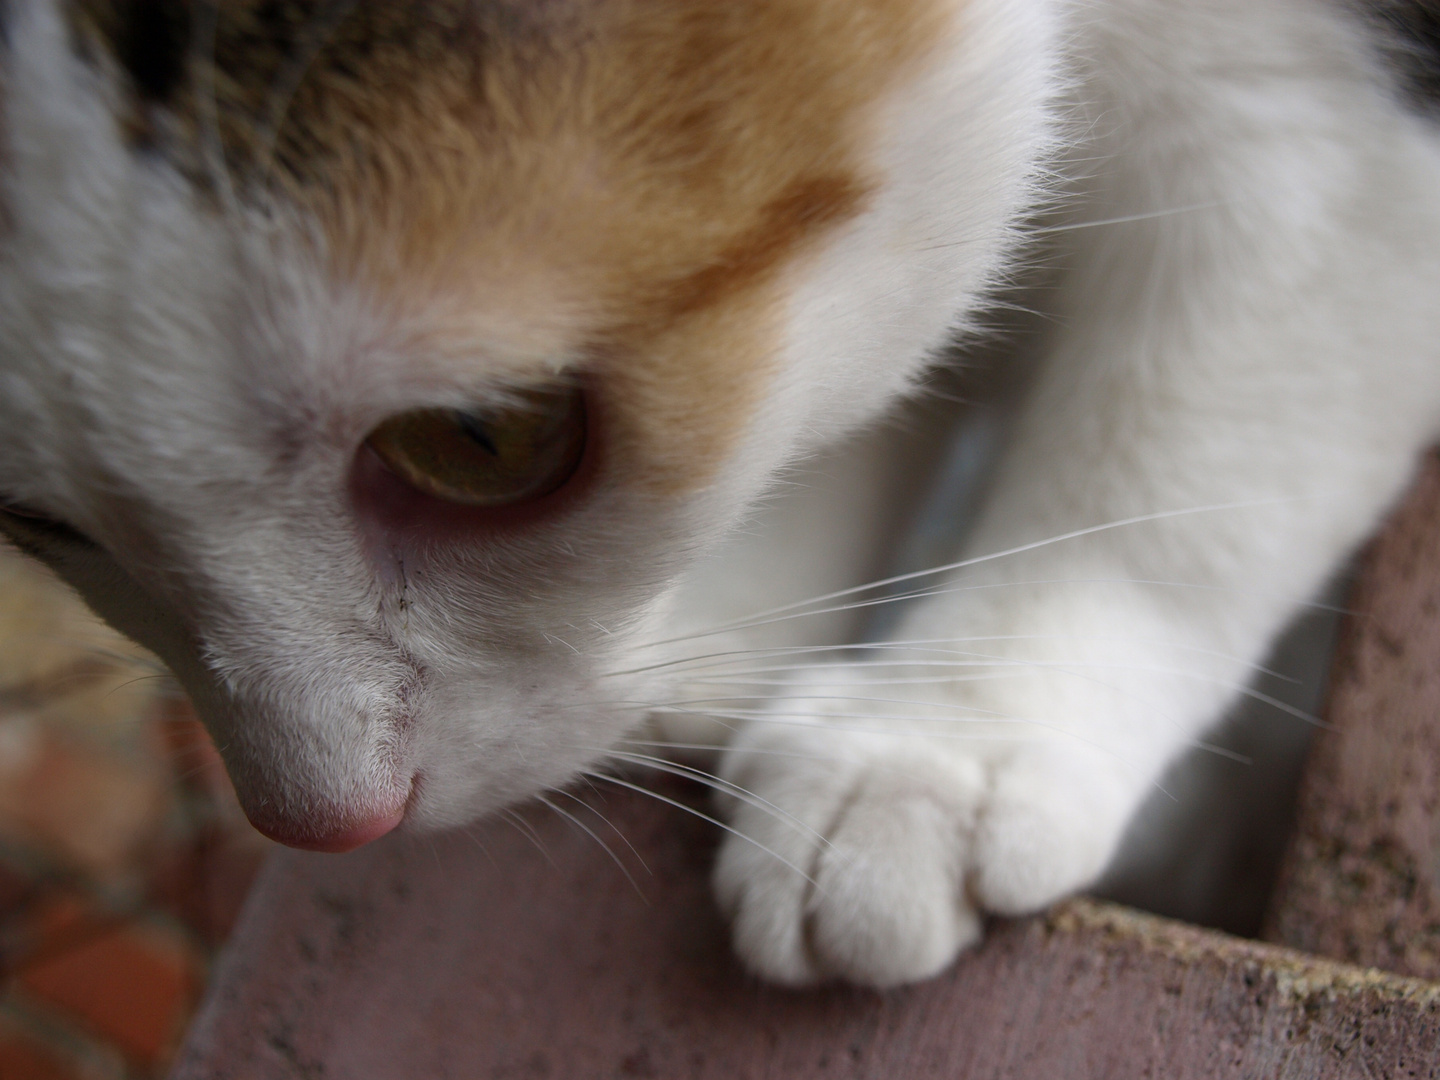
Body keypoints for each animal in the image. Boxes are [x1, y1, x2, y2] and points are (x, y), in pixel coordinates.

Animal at [2, 0, 1440, 996]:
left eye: (482, 440)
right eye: (37, 519)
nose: (329, 819)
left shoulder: (1319, 117)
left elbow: (1190, 447)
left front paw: (938, 742)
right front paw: (743, 632)